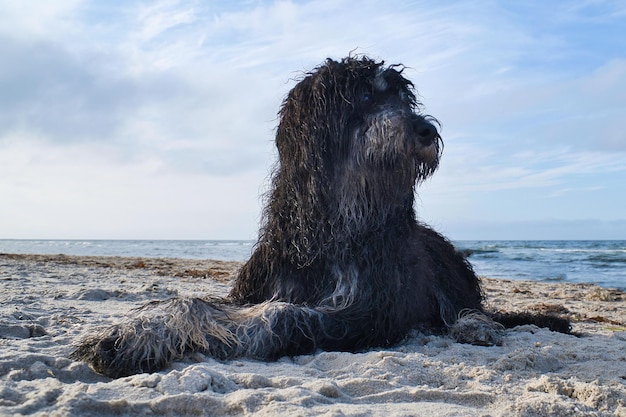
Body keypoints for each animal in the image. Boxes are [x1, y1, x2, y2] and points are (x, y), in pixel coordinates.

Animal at [70, 55, 568, 376]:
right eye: (365, 94)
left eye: (405, 101)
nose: (426, 130)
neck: (328, 226)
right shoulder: (262, 285)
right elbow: (187, 302)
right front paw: (127, 335)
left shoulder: (366, 308)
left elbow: (281, 315)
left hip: (452, 272)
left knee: (468, 309)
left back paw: (476, 328)